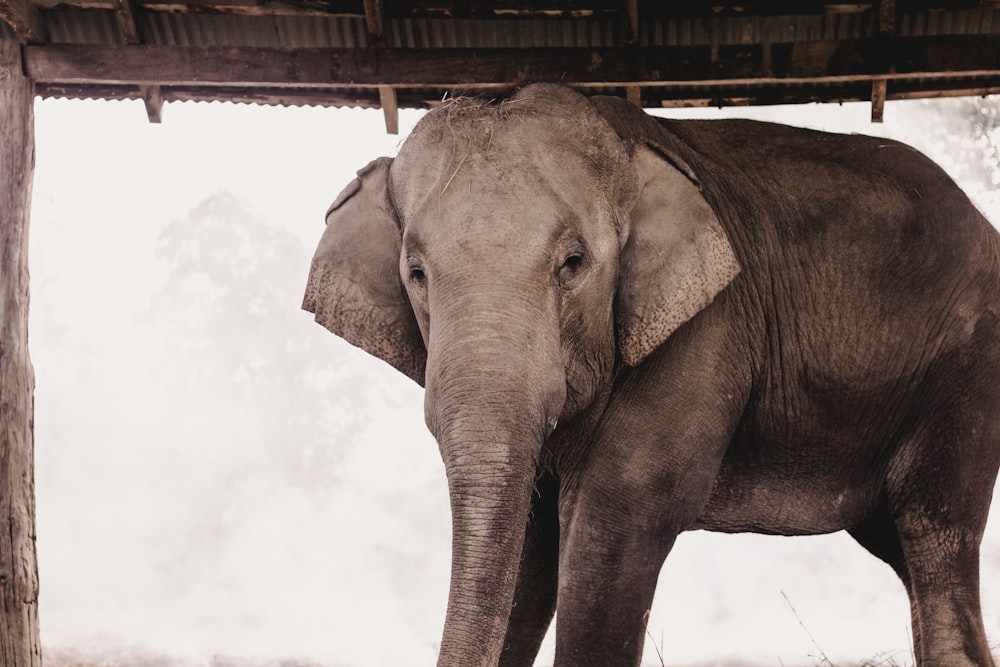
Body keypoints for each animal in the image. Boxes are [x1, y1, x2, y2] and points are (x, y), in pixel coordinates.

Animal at [304, 83, 1000, 667]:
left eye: (573, 263)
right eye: (416, 273)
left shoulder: (709, 327)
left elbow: (614, 522)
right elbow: (530, 549)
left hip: (967, 371)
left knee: (933, 534)